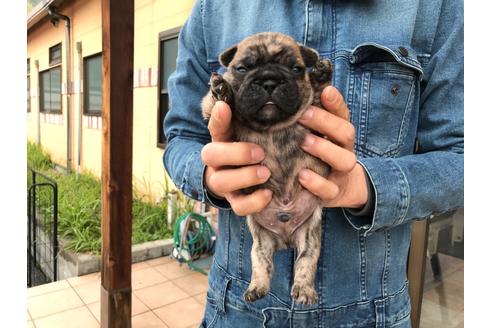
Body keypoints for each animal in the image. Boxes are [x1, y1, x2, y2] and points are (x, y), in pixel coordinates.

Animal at [202, 31, 332, 304]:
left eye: (296, 68)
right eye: (242, 68)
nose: (269, 80)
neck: (272, 126)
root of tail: (285, 241)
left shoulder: (314, 117)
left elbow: (317, 97)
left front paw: (320, 75)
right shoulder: (222, 121)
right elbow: (211, 103)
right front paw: (220, 89)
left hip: (309, 238)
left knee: (306, 262)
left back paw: (304, 290)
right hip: (261, 242)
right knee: (262, 264)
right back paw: (256, 288)